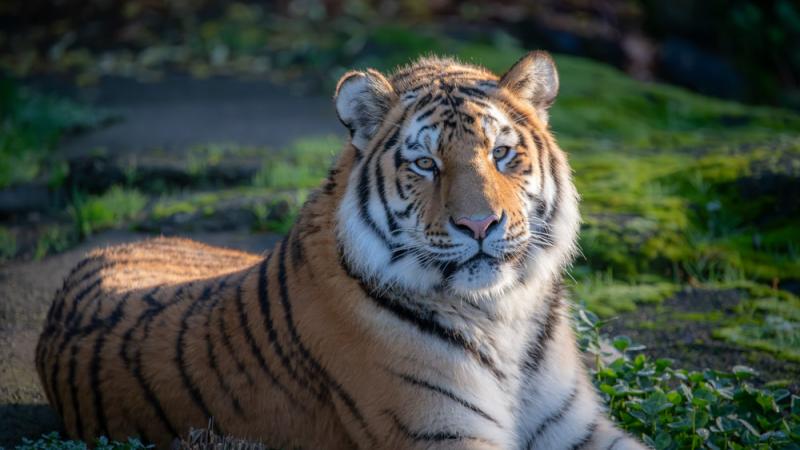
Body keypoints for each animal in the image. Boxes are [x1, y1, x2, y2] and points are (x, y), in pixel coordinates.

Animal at [37, 52, 648, 450]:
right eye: (425, 163)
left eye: (501, 153)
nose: (479, 224)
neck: (504, 315)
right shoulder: (440, 432)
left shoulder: (579, 429)